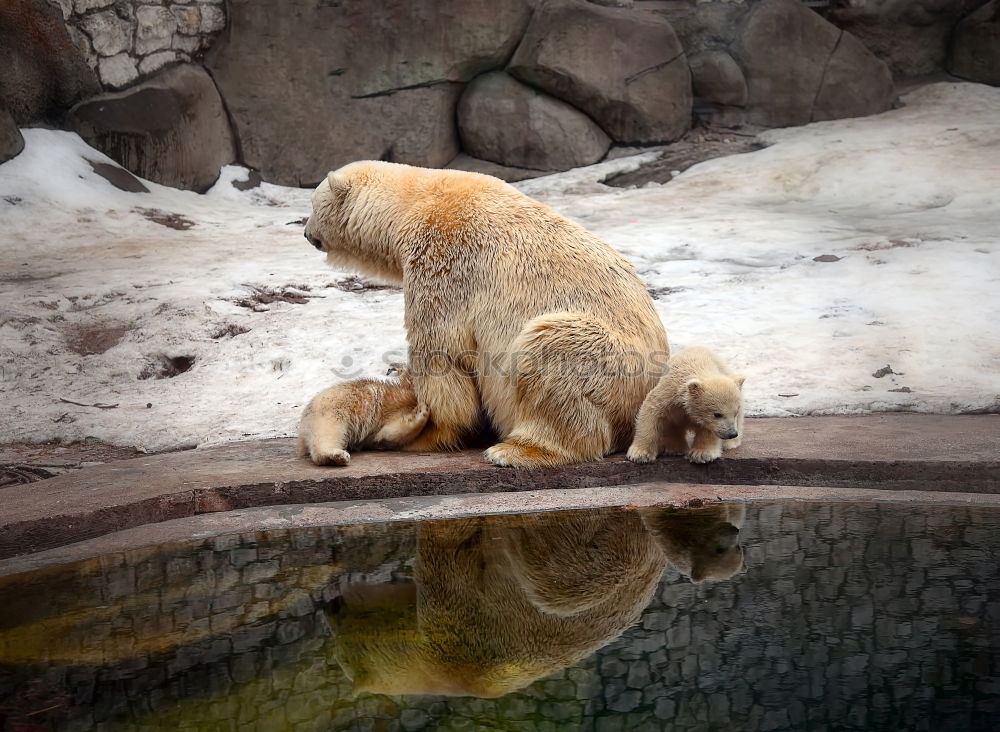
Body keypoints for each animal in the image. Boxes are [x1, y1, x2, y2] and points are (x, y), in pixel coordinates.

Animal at [300, 162, 668, 468]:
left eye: (313, 206)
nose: (305, 233)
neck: (413, 202)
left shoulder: (442, 257)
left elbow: (442, 352)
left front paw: (428, 432)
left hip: (613, 366)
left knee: (551, 347)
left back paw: (515, 450)